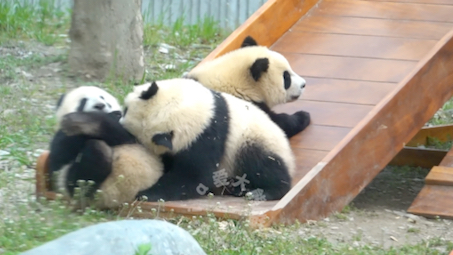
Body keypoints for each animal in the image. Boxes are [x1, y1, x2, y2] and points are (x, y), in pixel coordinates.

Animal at [61, 78, 294, 204]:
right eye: (125, 109)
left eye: (137, 136)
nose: (120, 123)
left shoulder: (207, 138)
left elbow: (194, 175)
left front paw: (147, 193)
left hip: (254, 142)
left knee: (263, 164)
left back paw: (262, 191)